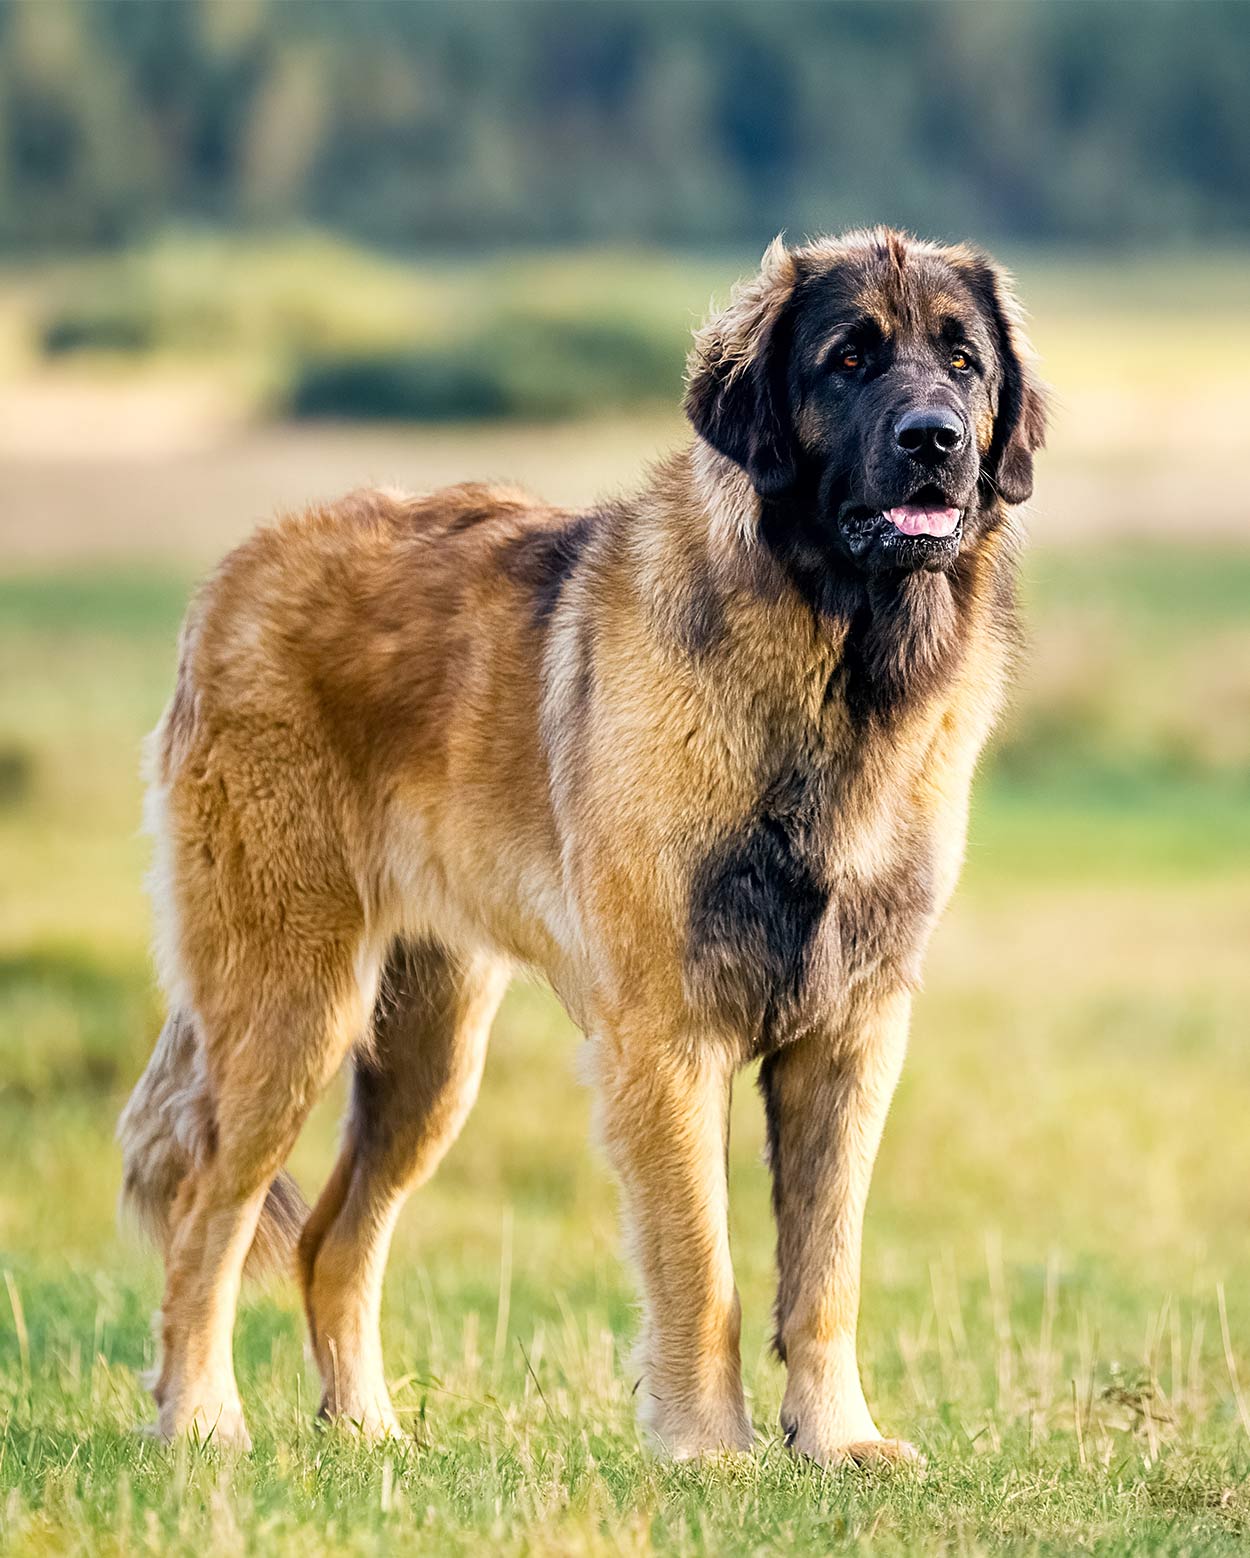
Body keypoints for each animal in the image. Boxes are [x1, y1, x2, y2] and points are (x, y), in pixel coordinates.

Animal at [121, 227, 1041, 1458]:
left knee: (332, 1238)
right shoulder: (666, 1031)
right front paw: (708, 1450)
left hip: (429, 1052)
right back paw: (202, 1419)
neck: (837, 665)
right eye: (847, 359)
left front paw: (837, 1439)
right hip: (289, 1004)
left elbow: (825, 1269)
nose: (933, 439)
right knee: (206, 1209)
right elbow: (700, 1264)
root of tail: (236, 572)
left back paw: (367, 1432)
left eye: (962, 361)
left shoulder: (851, 1030)